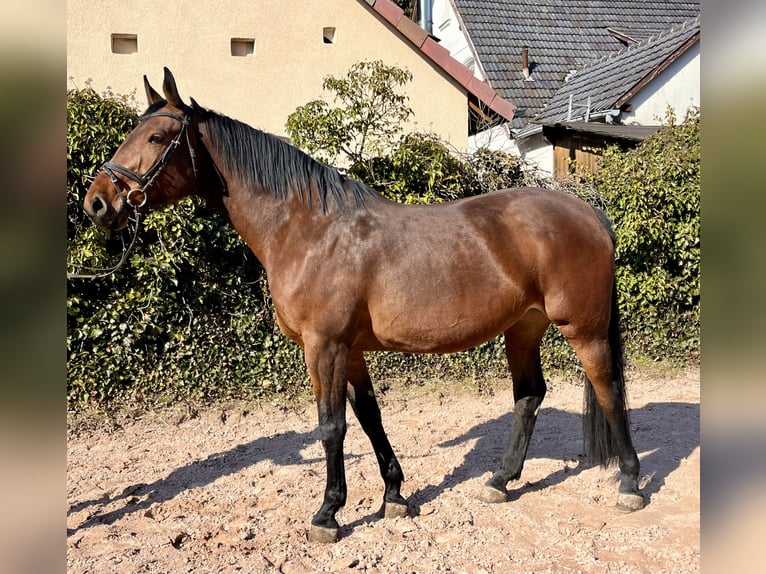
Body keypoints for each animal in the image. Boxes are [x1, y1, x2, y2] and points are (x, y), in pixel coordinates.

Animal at [83, 68, 644, 543]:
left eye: (157, 138)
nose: (96, 202)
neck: (307, 229)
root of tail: (588, 211)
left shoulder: (324, 346)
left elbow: (331, 426)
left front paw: (328, 513)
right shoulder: (349, 350)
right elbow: (370, 416)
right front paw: (394, 495)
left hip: (583, 329)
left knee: (609, 390)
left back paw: (630, 484)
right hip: (524, 328)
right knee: (529, 396)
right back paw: (500, 481)